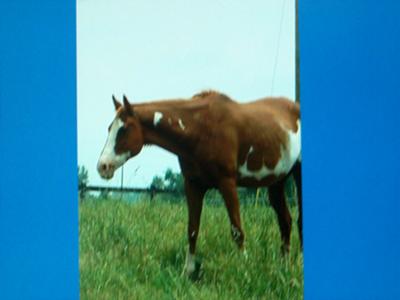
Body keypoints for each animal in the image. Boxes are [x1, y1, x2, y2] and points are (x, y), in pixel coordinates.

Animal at [97, 91, 302, 276]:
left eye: (123, 129)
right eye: (109, 128)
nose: (103, 166)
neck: (200, 128)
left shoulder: (227, 183)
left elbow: (237, 230)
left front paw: (244, 268)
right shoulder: (193, 185)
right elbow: (192, 229)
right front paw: (188, 271)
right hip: (276, 182)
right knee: (285, 221)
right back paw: (284, 267)